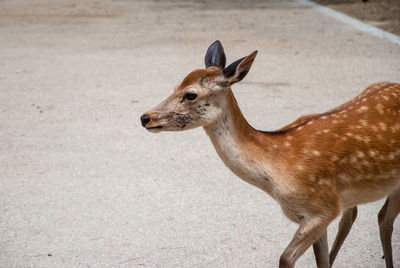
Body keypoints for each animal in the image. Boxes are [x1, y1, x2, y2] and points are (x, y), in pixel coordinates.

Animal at [141, 40, 400, 268]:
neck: (276, 169)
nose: (146, 117)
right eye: (175, 87)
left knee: (385, 221)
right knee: (366, 217)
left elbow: (285, 258)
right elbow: (322, 261)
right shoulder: (319, 213)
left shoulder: (322, 207)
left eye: (191, 94)